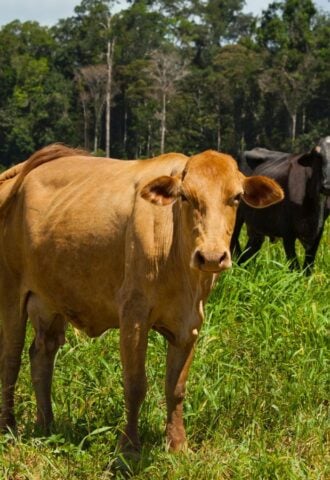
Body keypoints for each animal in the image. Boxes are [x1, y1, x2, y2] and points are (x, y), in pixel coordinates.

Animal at [0, 144, 284, 452]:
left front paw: (177, 445)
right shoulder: (133, 317)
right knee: (11, 360)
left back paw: (46, 425)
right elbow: (135, 385)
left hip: (50, 301)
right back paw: (8, 427)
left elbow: (176, 388)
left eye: (236, 197)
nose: (211, 256)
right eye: (185, 196)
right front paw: (128, 447)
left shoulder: (190, 324)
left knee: (41, 354)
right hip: (11, 294)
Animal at [232, 138, 330, 274]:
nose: (327, 186)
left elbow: (308, 267)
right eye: (318, 156)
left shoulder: (318, 232)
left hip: (256, 226)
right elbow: (294, 266)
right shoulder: (287, 231)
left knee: (248, 253)